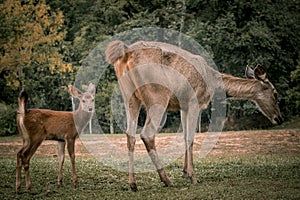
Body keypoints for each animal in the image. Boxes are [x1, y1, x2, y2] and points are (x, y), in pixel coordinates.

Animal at [106, 39, 284, 191]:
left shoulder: (183, 106)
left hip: (129, 96)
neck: (214, 83)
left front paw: (185, 172)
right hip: (157, 95)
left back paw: (133, 184)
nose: (279, 118)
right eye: (275, 93)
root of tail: (126, 53)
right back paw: (166, 180)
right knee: (147, 134)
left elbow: (185, 136)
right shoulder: (194, 101)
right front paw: (192, 176)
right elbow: (191, 137)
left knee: (130, 134)